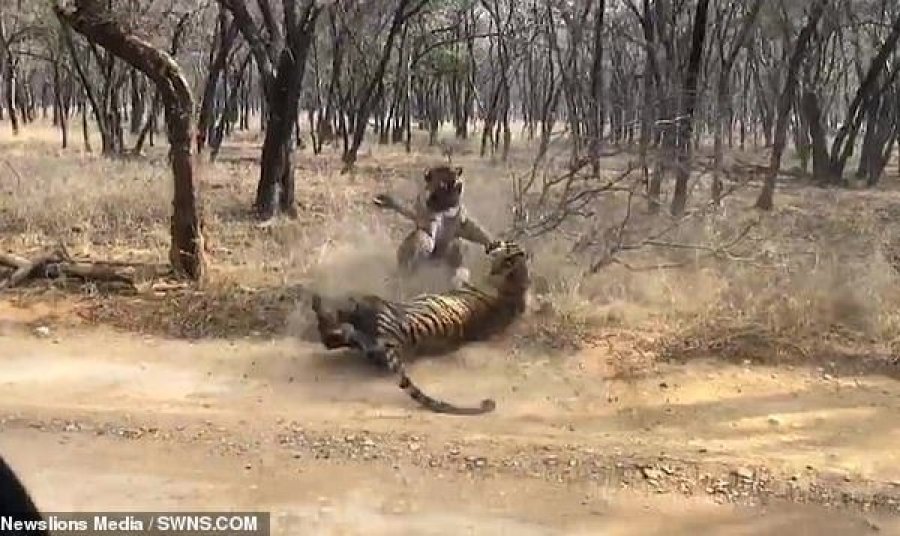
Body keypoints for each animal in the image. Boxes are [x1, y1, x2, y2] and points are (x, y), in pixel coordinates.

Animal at [312, 241, 532, 416]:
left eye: (506, 244)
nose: (493, 242)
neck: (515, 281)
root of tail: (395, 340)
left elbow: (461, 274)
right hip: (363, 341)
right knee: (332, 339)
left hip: (367, 306)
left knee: (337, 320)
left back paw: (318, 302)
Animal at [372, 165, 500, 292]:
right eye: (442, 184)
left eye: (456, 182)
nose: (455, 189)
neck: (445, 208)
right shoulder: (427, 221)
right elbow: (425, 233)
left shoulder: (462, 222)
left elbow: (478, 231)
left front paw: (493, 244)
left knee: (458, 252)